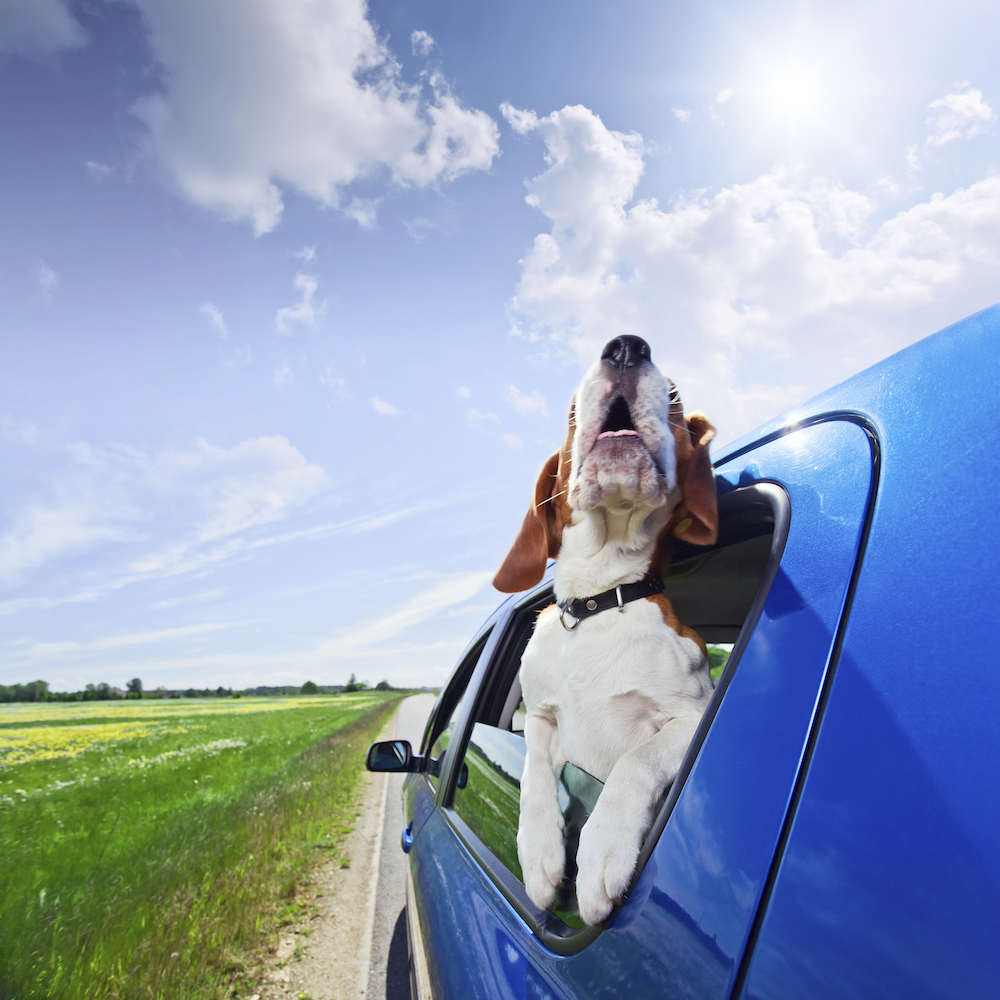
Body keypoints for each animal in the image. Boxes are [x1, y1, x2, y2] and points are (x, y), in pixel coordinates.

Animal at [494, 336, 720, 928]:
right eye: (573, 410)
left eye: (675, 399)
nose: (625, 348)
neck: (597, 601)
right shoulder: (541, 718)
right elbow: (533, 775)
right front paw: (539, 855)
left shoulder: (692, 718)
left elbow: (635, 761)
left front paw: (602, 852)